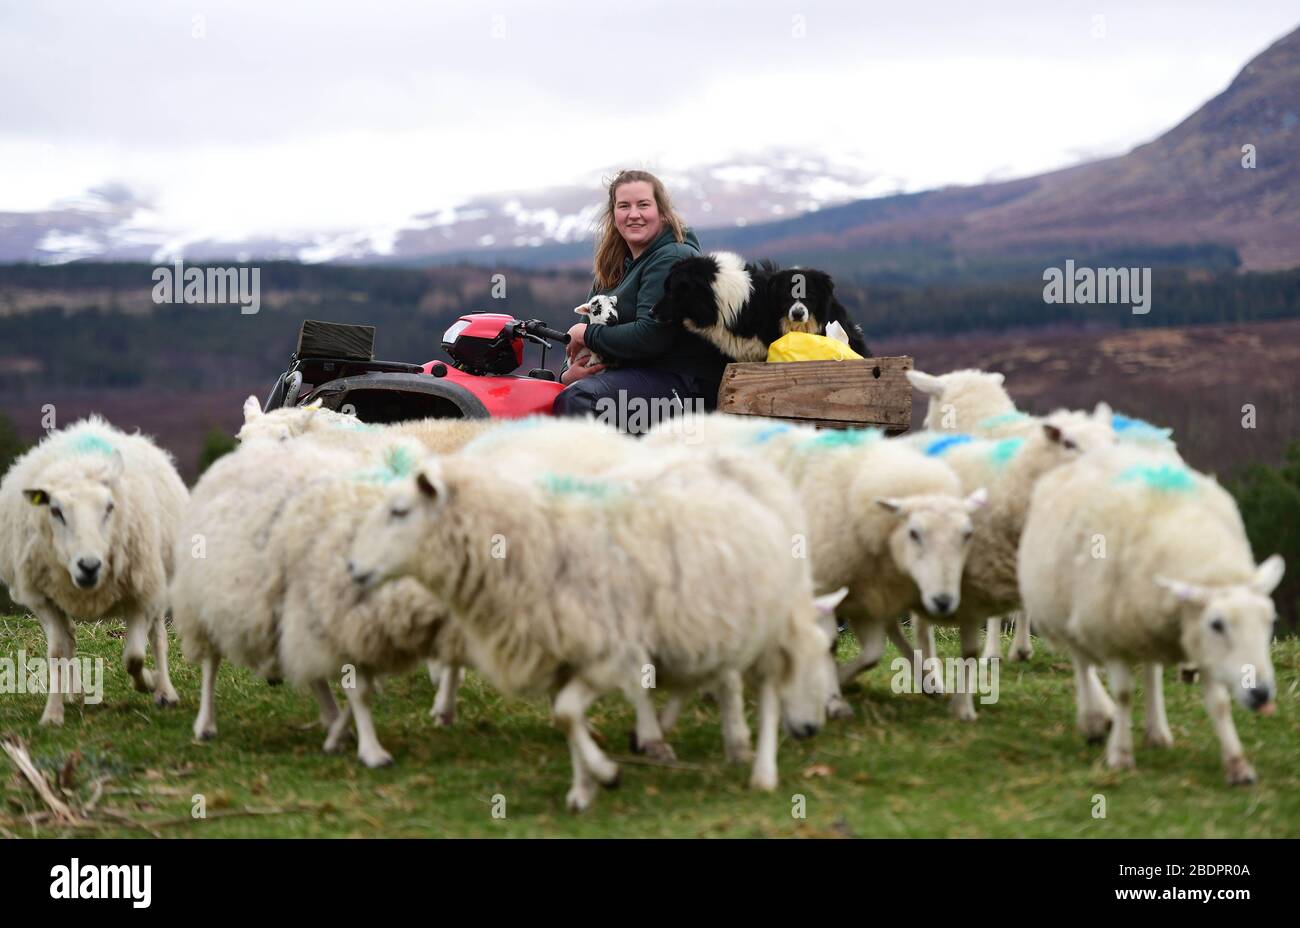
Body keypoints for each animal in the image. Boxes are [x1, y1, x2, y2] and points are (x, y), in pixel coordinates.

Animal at [0, 415, 188, 727]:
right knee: (69, 637)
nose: (89, 566)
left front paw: (149, 681)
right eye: (55, 510)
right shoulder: (44, 599)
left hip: (157, 580)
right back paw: (73, 692)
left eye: (110, 507)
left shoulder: (139, 594)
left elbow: (134, 656)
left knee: (158, 637)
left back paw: (165, 691)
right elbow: (56, 652)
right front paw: (52, 714)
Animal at [345, 444, 832, 805]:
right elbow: (566, 717)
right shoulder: (565, 655)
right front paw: (586, 786)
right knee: (728, 677)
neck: (533, 545)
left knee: (769, 690)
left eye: (400, 511)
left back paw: (763, 770)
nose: (351, 567)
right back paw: (732, 743)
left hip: (774, 617)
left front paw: (604, 773)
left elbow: (568, 711)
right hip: (723, 617)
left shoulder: (608, 654)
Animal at [1019, 441, 1284, 779]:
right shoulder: (1110, 634)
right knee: (1082, 664)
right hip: (1069, 613)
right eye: (1217, 624)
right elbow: (1122, 694)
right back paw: (1093, 720)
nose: (1261, 694)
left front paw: (1238, 766)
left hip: (1142, 624)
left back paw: (1157, 731)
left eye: (1270, 620)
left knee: (1151, 673)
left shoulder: (1198, 645)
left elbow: (1219, 703)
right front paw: (1120, 754)